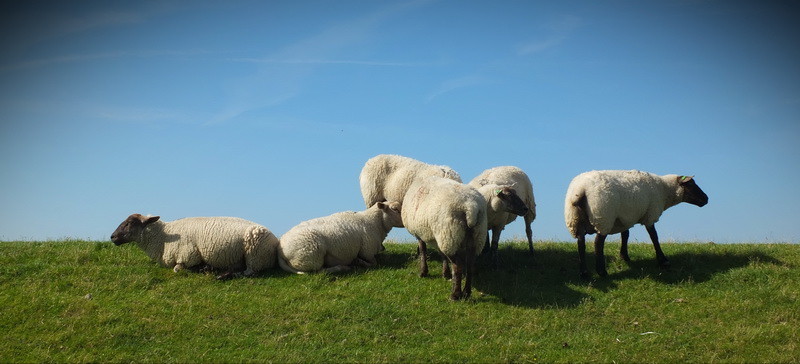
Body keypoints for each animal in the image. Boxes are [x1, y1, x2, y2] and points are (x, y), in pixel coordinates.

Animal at [109, 213, 278, 278]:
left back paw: (222, 275)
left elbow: (177, 269)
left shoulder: (187, 255)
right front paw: (204, 268)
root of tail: (275, 240)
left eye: (130, 222)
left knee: (249, 272)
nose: (112, 237)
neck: (163, 237)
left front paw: (200, 269)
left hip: (254, 255)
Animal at [564, 171, 708, 278]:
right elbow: (654, 237)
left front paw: (624, 256)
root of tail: (581, 189)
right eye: (691, 184)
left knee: (581, 243)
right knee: (598, 243)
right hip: (603, 216)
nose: (706, 198)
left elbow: (625, 235)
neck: (664, 189)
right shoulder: (650, 213)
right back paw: (601, 272)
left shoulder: (624, 217)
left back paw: (584, 272)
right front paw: (663, 261)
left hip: (576, 219)